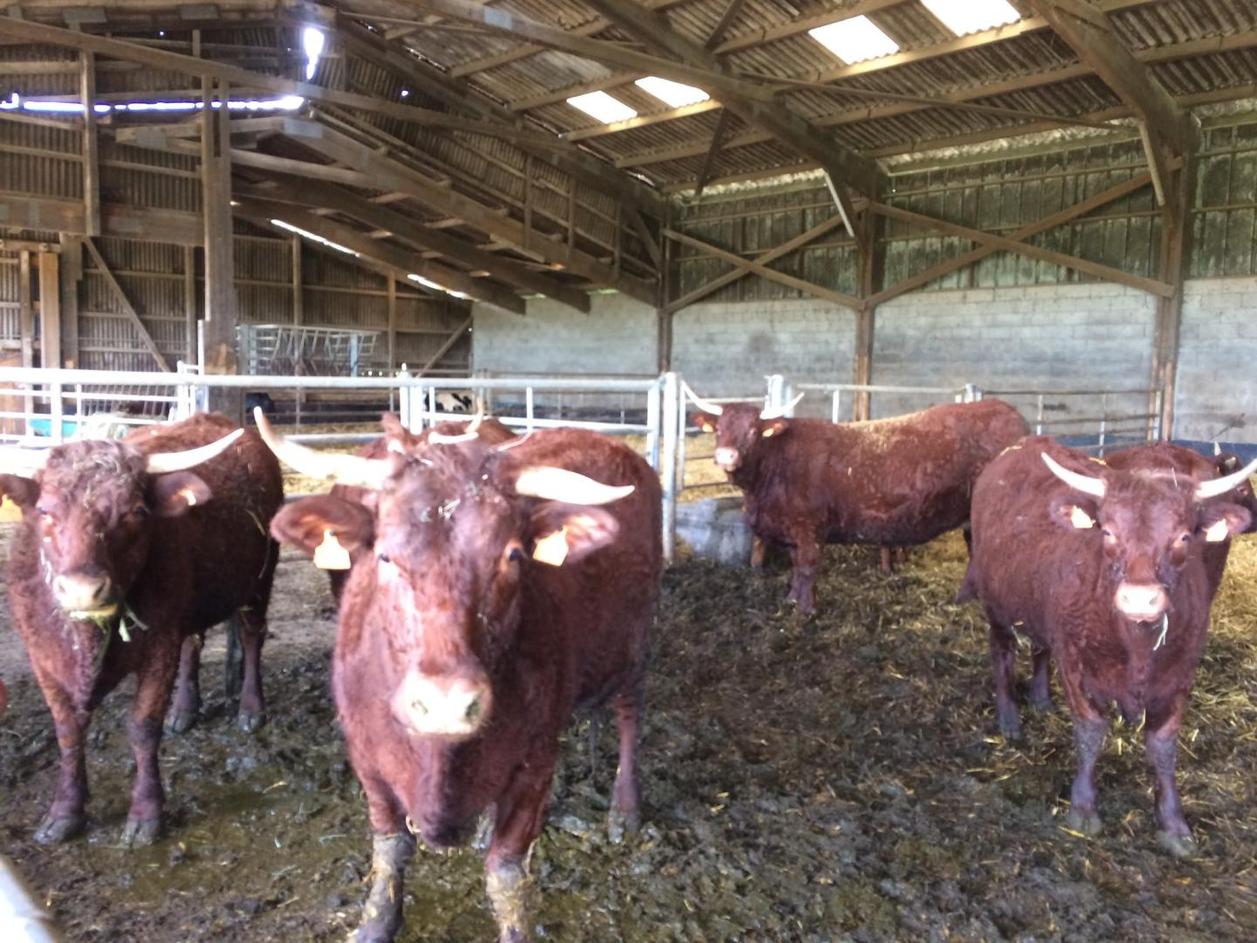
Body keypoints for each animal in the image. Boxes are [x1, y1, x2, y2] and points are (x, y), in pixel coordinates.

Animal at [0, 414, 282, 845]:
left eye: (135, 511)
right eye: (45, 510)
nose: (82, 589)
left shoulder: (159, 648)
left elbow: (143, 726)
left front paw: (146, 814)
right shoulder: (42, 660)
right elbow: (67, 731)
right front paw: (64, 812)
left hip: (259, 579)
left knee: (252, 637)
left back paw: (251, 709)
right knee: (194, 644)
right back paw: (184, 710)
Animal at [256, 409, 660, 943]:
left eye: (513, 555)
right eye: (384, 555)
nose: (445, 704)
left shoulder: (536, 763)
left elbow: (506, 871)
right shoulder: (366, 756)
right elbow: (390, 846)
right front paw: (376, 922)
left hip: (635, 646)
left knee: (629, 715)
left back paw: (624, 809)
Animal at [686, 389, 1028, 613]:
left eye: (754, 431)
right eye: (719, 429)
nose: (725, 456)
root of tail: (1004, 410)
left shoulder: (809, 527)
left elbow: (808, 567)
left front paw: (806, 611)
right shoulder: (790, 530)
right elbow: (796, 567)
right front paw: (792, 600)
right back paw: (965, 599)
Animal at [958, 436, 1257, 856]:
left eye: (1183, 536)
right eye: (1109, 533)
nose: (1140, 599)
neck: (1137, 647)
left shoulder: (1180, 674)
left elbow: (1164, 746)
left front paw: (1174, 823)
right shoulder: (1075, 663)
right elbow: (1090, 732)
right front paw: (1083, 808)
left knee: (1039, 650)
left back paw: (1041, 698)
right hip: (998, 609)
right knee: (1003, 657)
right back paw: (1009, 719)